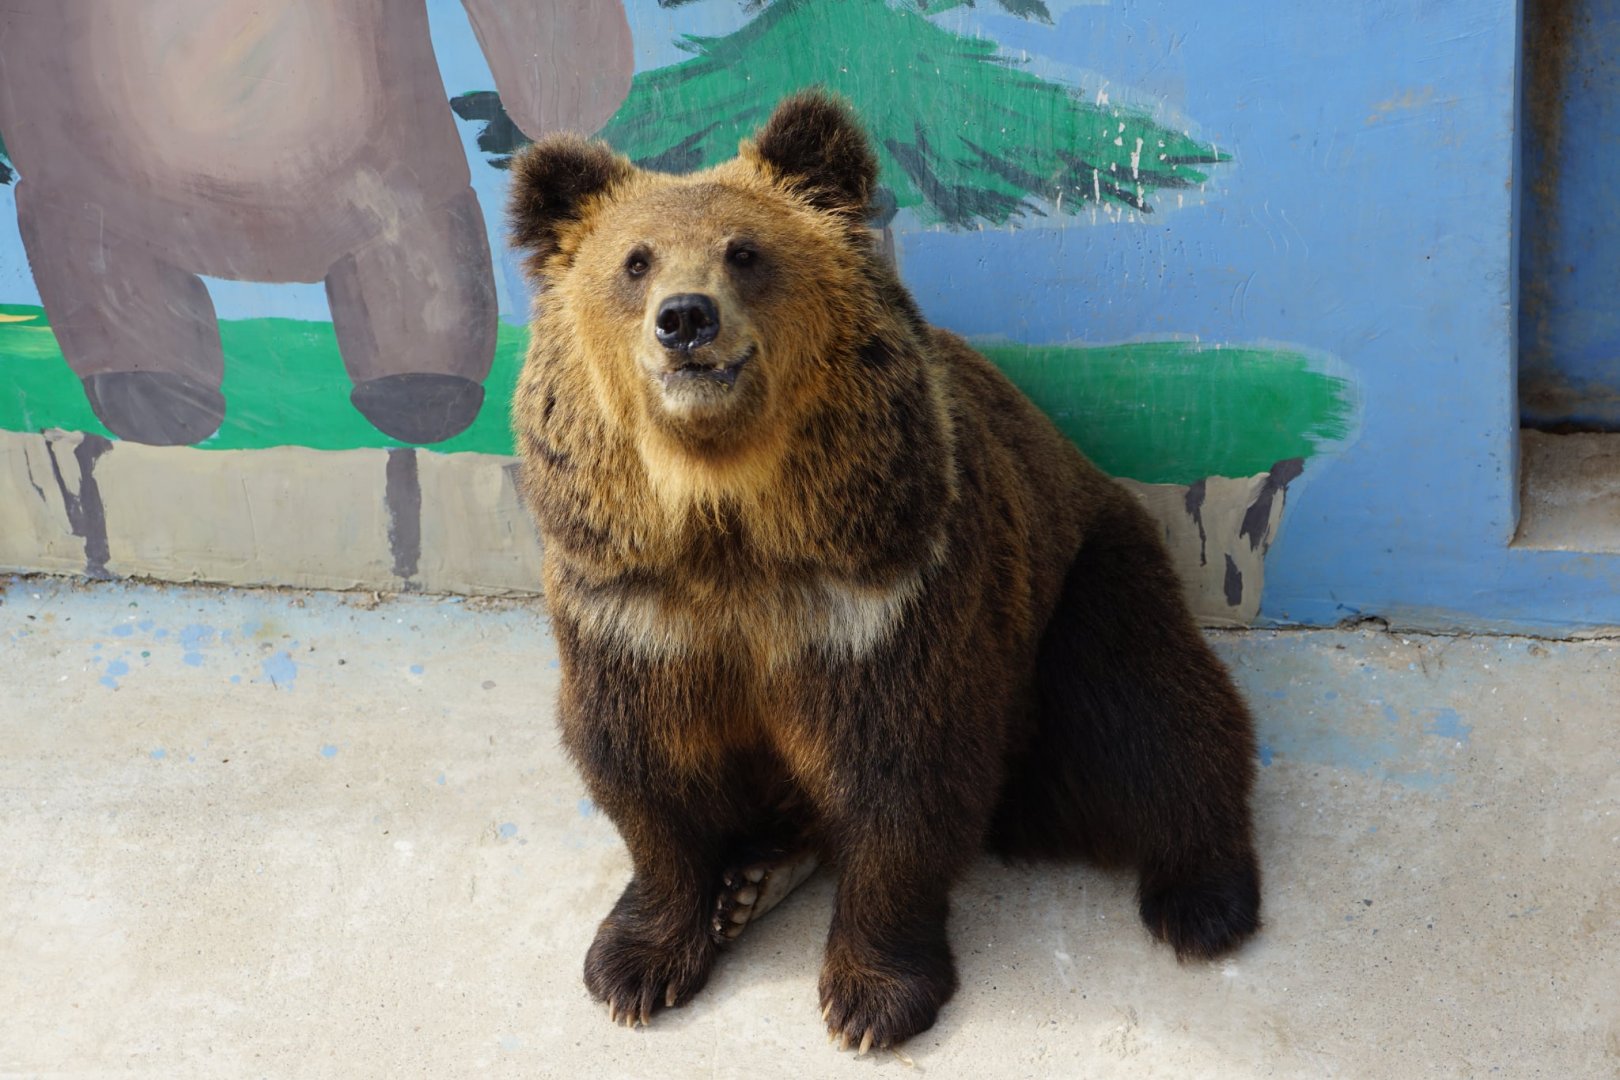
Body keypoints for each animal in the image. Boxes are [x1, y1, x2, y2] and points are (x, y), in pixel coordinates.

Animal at [0, 0, 631, 446]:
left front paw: (568, 105)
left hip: (402, 197)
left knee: (421, 275)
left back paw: (418, 389)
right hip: (92, 213)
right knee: (111, 279)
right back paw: (153, 391)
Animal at [506, 91, 1262, 1053]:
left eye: (744, 252)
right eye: (634, 262)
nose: (686, 319)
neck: (730, 522)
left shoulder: (884, 597)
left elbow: (903, 775)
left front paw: (871, 999)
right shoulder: (637, 607)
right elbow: (644, 772)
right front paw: (636, 965)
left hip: (1089, 581)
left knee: (1149, 711)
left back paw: (1204, 899)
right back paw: (754, 877)